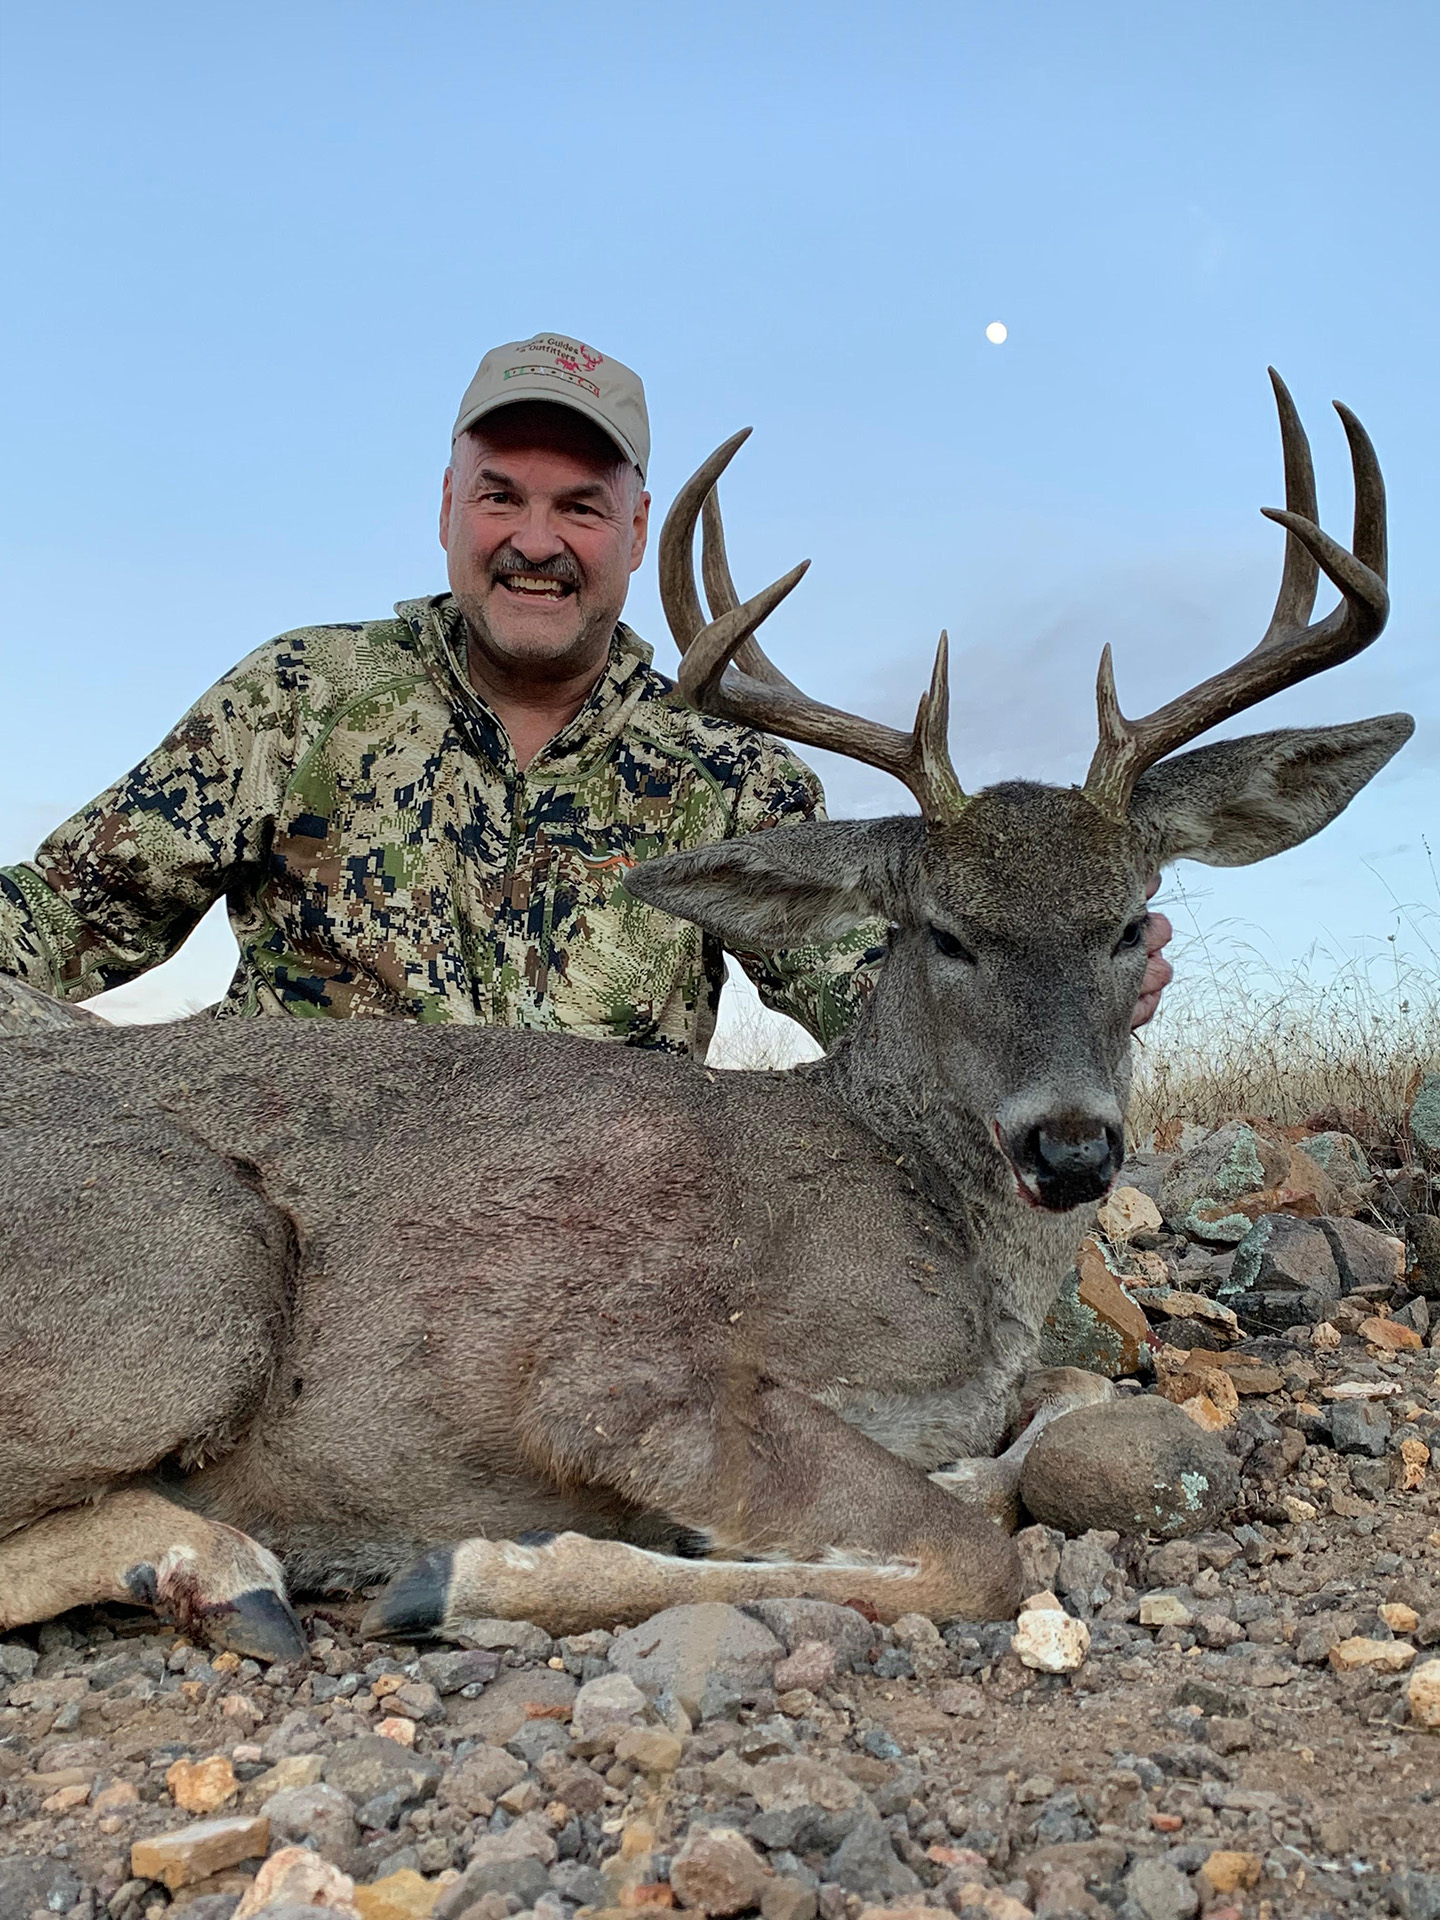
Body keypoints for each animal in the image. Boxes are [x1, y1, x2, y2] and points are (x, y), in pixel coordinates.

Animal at [0, 373, 1407, 1662]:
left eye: (1131, 921)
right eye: (945, 932)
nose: (1071, 1149)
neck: (933, 1230)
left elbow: (1052, 1411)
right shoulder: (618, 1377)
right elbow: (976, 1555)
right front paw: (472, 1572)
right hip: (202, 1260)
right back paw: (232, 1563)